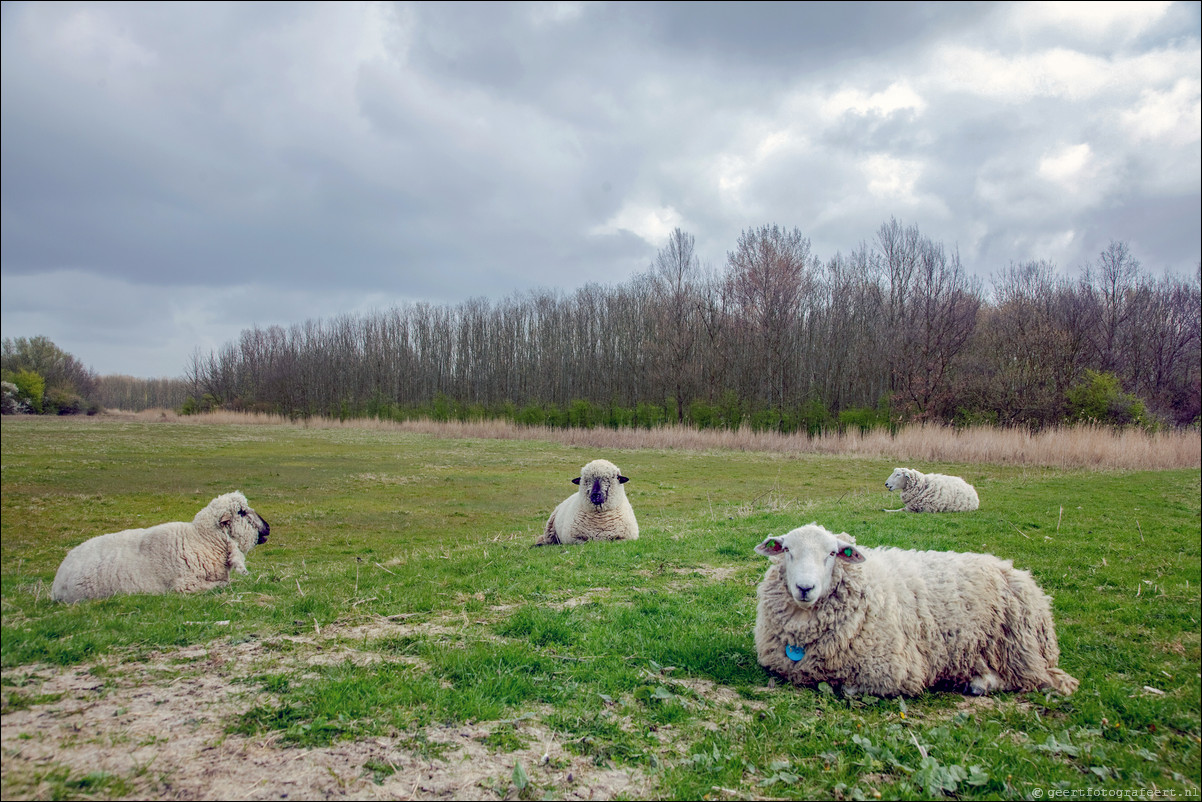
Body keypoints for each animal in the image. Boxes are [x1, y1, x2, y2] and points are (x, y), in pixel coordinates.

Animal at [750, 524, 1081, 697]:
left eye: (832, 553)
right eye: (787, 550)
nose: (805, 588)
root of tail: (1016, 571)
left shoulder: (891, 672)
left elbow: (848, 689)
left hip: (1019, 650)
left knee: (1034, 679)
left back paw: (979, 683)